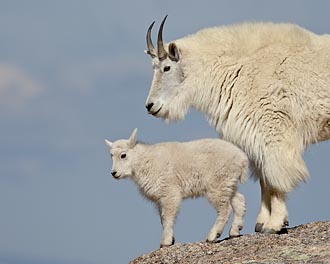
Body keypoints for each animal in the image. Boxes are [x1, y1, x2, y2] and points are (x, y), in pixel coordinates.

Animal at [145, 17, 330, 233]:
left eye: (166, 67)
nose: (150, 106)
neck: (238, 69)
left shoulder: (273, 130)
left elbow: (276, 177)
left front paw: (274, 224)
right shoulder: (255, 136)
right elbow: (264, 179)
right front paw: (261, 223)